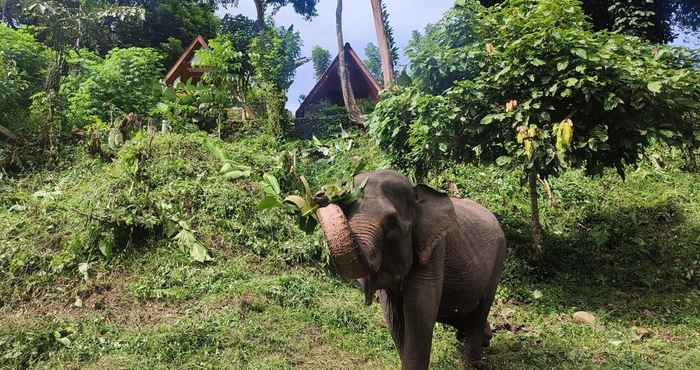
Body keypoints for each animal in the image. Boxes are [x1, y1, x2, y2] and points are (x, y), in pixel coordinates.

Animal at [316, 171, 504, 370]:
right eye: (347, 210)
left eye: (391, 223)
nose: (321, 194)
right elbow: (393, 315)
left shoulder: (434, 249)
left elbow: (418, 307)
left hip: (498, 262)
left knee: (481, 311)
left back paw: (473, 361)